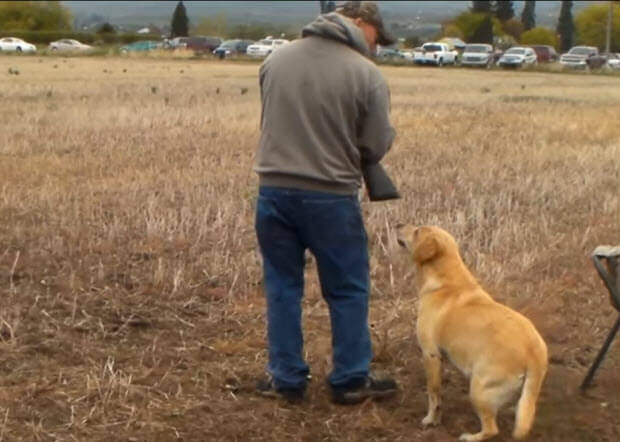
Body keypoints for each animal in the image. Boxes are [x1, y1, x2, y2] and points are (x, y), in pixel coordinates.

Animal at [398, 226, 548, 440]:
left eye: (417, 231)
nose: (398, 224)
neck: (446, 282)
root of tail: (535, 350)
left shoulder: (430, 354)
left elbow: (434, 394)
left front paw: (431, 420)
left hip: (479, 389)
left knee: (492, 429)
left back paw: (470, 437)